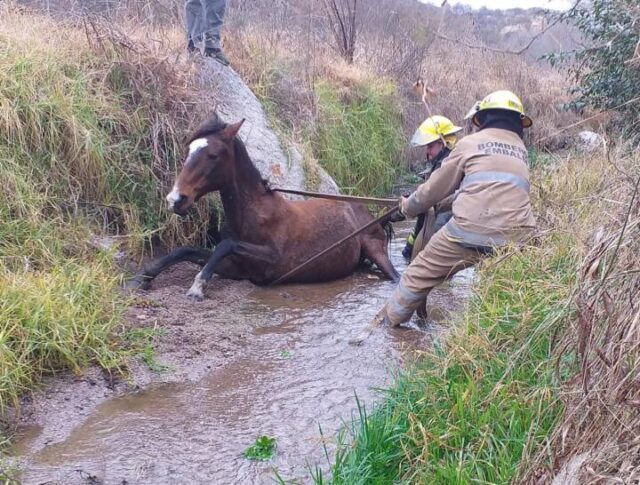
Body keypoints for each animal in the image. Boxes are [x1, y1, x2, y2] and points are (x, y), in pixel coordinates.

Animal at [127, 114, 399, 299]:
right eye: (188, 152)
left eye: (213, 155)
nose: (175, 200)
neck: (253, 213)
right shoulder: (235, 268)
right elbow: (187, 250)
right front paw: (141, 278)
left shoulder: (272, 260)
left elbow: (225, 244)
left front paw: (198, 286)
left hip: (377, 251)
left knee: (395, 277)